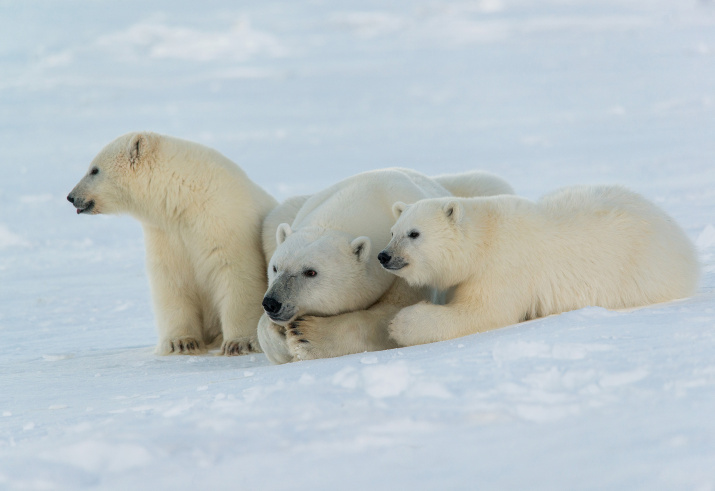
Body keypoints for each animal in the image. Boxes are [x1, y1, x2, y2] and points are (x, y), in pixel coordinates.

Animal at [67, 133, 278, 356]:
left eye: (94, 170)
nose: (71, 197)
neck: (186, 198)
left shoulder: (224, 222)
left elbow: (237, 274)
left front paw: (239, 343)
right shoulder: (167, 233)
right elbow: (171, 279)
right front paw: (182, 343)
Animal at [258, 167, 516, 364]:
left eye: (311, 272)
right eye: (275, 268)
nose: (272, 303)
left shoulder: (405, 269)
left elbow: (389, 317)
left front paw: (306, 335)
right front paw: (279, 337)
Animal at [380, 184, 700, 346]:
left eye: (414, 233)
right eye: (393, 232)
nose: (384, 256)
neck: (484, 237)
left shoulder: (503, 266)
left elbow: (483, 313)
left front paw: (400, 323)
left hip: (642, 270)